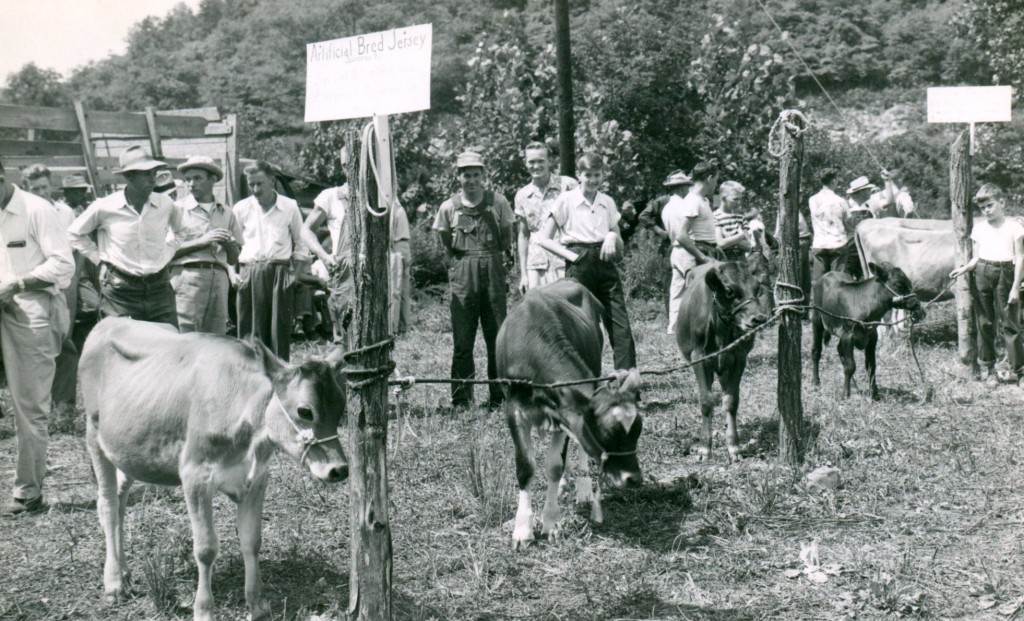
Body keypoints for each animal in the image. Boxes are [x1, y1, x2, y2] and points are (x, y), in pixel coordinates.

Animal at [675, 261, 765, 463]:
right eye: (729, 290)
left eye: (758, 287)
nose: (759, 318)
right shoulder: (699, 357)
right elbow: (706, 401)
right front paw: (704, 448)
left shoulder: (739, 357)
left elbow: (731, 401)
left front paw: (733, 447)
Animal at [815, 261, 929, 399]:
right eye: (899, 284)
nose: (919, 308)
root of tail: (827, 274)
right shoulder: (848, 336)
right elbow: (850, 366)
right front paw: (845, 394)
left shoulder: (872, 337)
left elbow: (871, 366)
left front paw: (874, 394)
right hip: (816, 319)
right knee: (816, 351)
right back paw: (816, 382)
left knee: (839, 350)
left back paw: (854, 386)